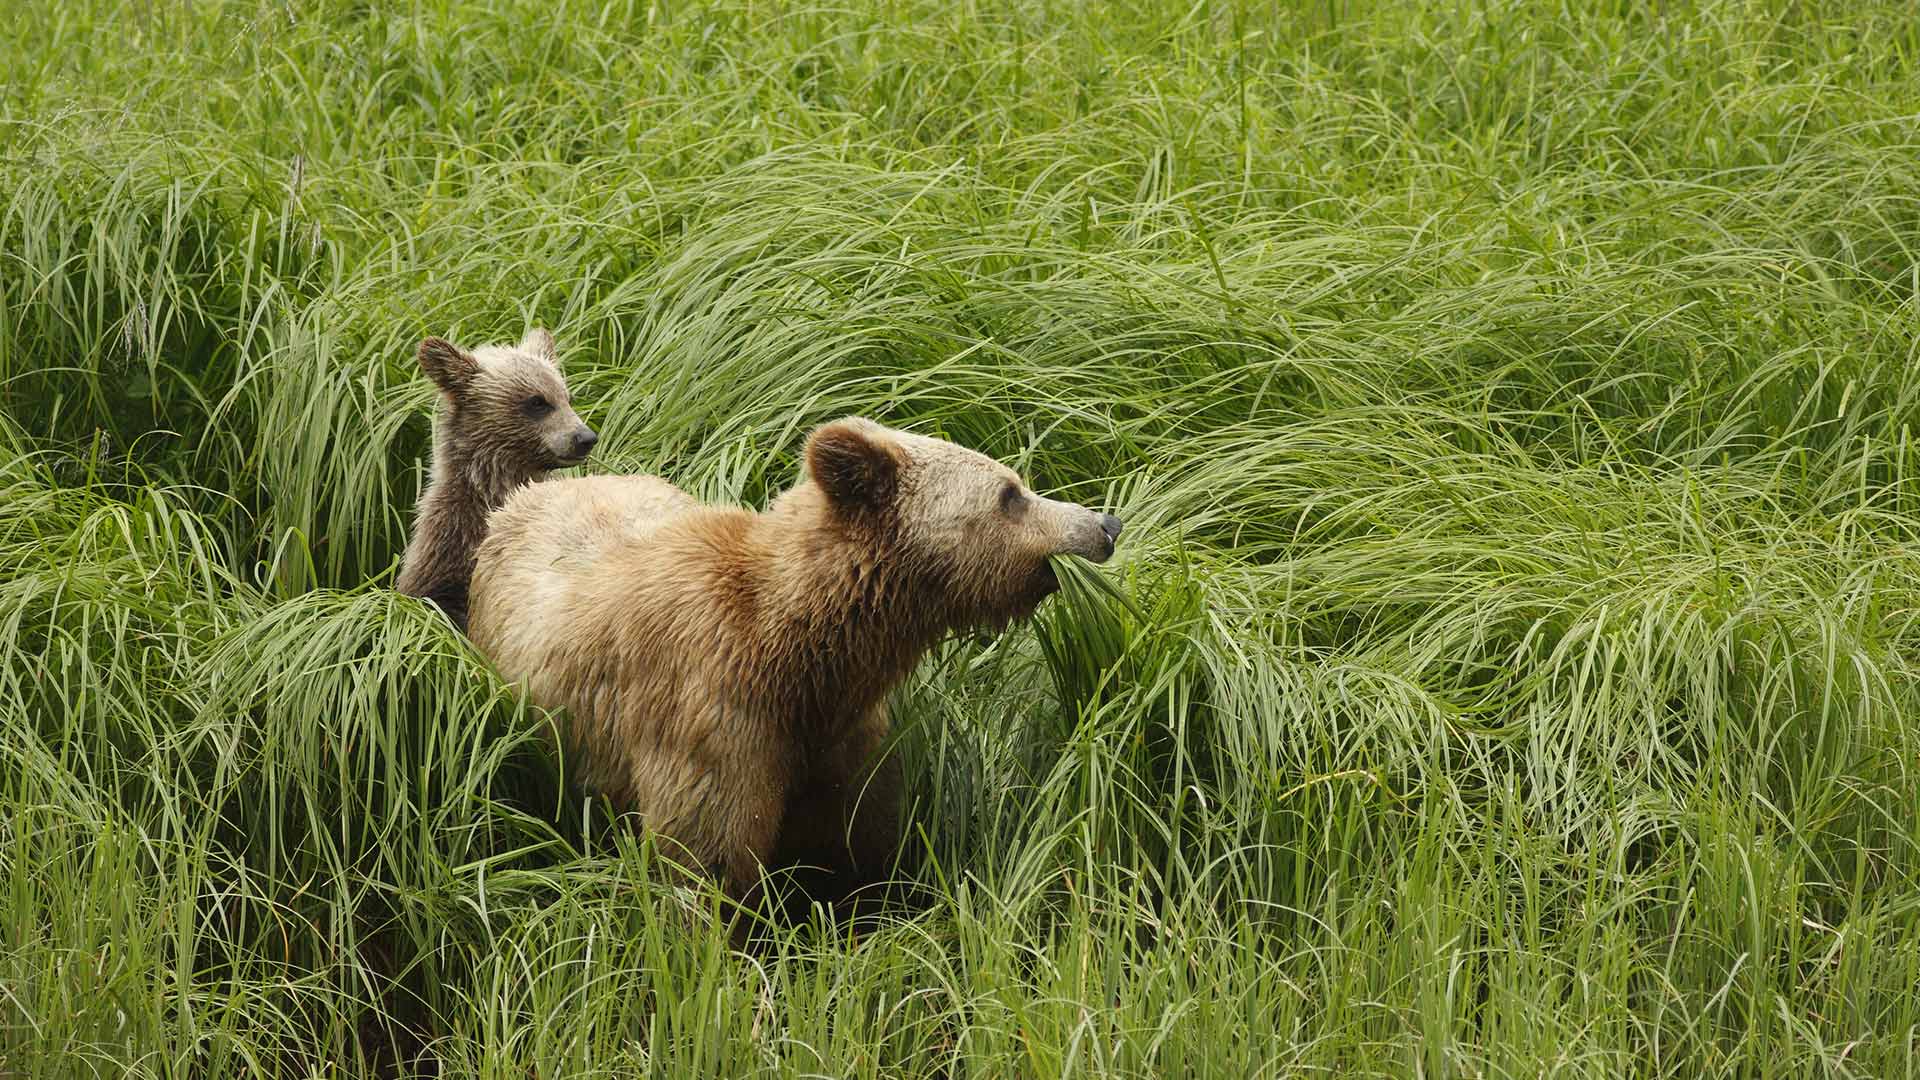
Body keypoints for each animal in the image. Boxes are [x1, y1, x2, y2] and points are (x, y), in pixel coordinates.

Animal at [468, 417, 1121, 903]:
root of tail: (524, 495)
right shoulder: (711, 717)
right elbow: (705, 860)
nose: (1104, 522)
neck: (801, 654)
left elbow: (854, 847)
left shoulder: (841, 739)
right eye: (1010, 494)